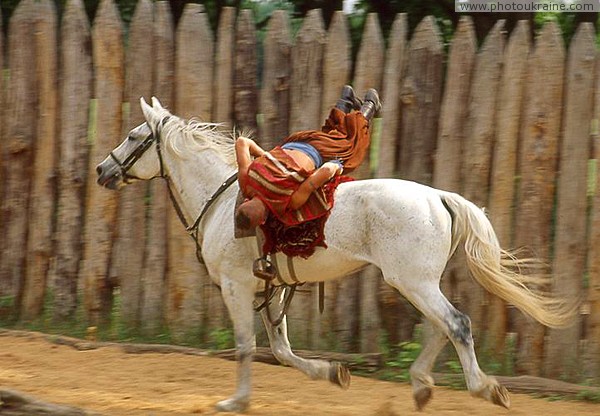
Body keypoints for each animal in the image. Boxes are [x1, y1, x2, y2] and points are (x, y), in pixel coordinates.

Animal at [96, 97, 576, 412]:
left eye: (134, 135)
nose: (102, 170)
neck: (221, 196)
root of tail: (439, 196)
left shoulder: (237, 286)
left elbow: (247, 346)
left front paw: (236, 401)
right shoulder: (272, 288)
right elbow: (281, 349)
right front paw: (331, 373)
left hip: (412, 281)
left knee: (456, 323)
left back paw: (484, 388)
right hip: (413, 282)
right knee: (442, 327)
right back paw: (421, 386)